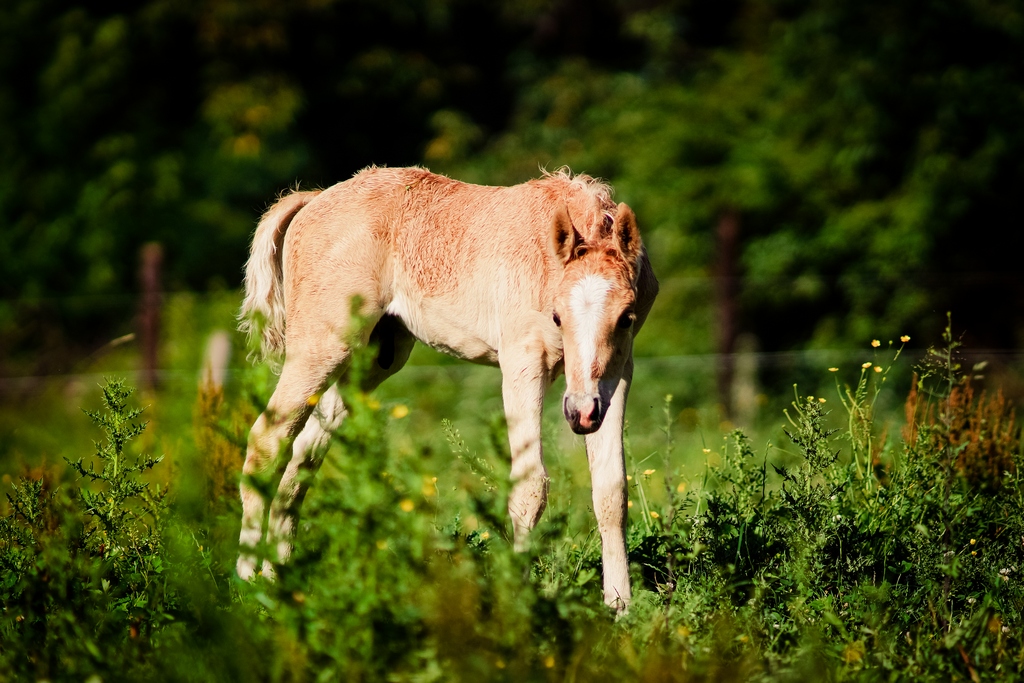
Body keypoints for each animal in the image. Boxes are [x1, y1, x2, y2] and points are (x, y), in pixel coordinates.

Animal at [237, 166, 655, 614]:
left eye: (626, 318)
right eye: (557, 316)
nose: (581, 414)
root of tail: (313, 200)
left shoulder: (617, 374)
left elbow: (612, 490)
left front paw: (620, 605)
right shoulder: (522, 362)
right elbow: (530, 487)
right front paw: (519, 601)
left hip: (374, 360)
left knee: (304, 454)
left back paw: (279, 577)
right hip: (322, 346)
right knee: (267, 438)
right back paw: (247, 580)